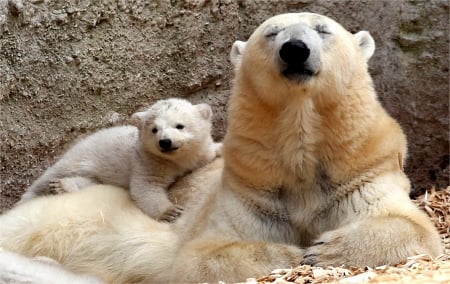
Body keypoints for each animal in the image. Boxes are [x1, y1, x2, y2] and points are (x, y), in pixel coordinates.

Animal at [20, 98, 222, 223]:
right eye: (154, 129)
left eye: (179, 125)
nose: (165, 142)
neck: (177, 160)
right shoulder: (148, 161)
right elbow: (146, 188)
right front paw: (171, 212)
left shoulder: (200, 154)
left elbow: (211, 152)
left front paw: (221, 150)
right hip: (82, 157)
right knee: (49, 177)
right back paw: (53, 187)